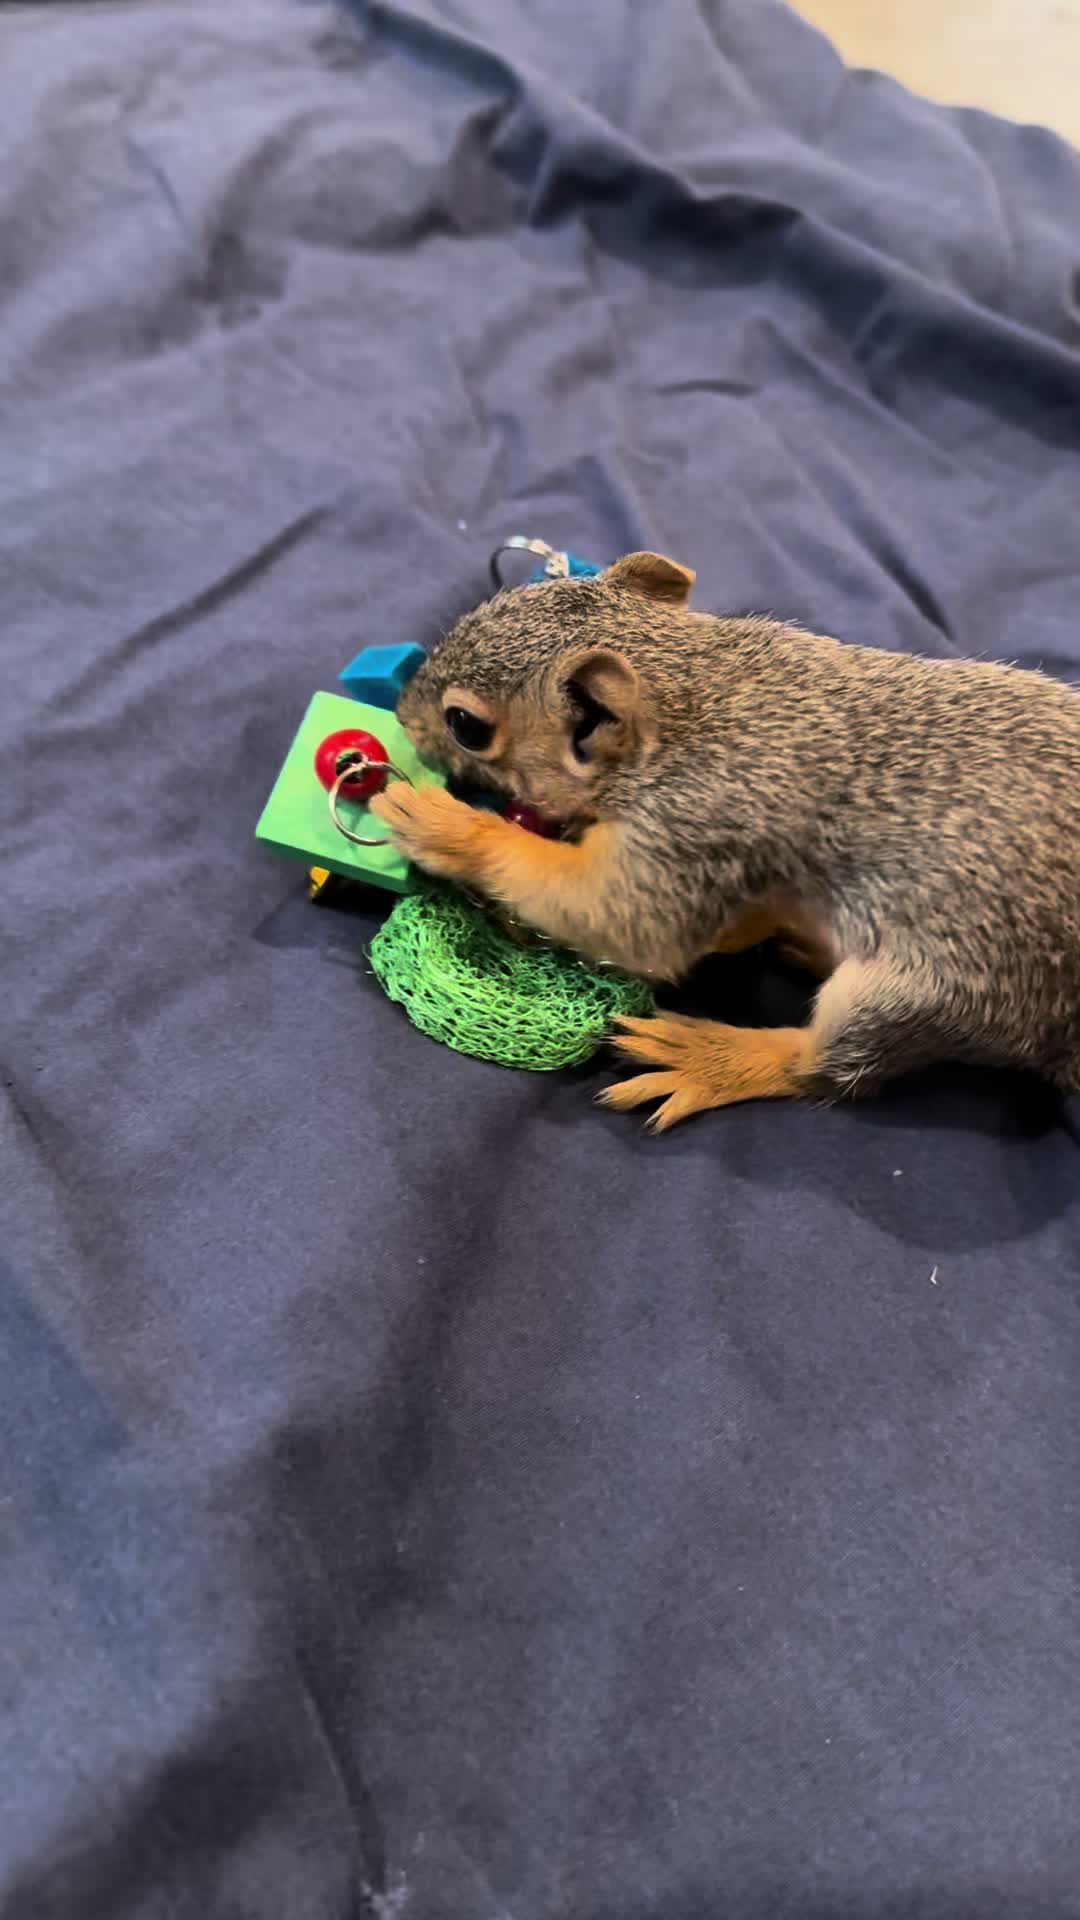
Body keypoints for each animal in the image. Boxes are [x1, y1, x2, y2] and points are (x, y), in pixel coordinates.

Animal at [370, 551, 1080, 1130]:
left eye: (465, 725)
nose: (403, 715)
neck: (693, 686)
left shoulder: (694, 824)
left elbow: (632, 924)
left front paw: (450, 829)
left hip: (934, 991)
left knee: (831, 1069)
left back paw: (716, 1057)